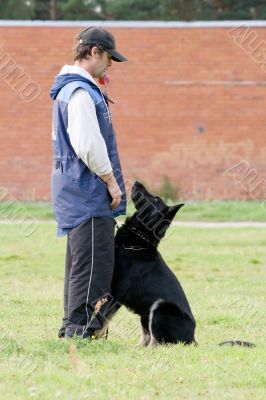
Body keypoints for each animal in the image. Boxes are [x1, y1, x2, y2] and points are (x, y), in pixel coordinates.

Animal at [96, 182, 196, 346]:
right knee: (147, 339)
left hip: (159, 308)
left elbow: (102, 319)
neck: (139, 240)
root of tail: (193, 339)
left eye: (155, 199)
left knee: (158, 344)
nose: (137, 182)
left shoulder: (116, 294)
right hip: (145, 315)